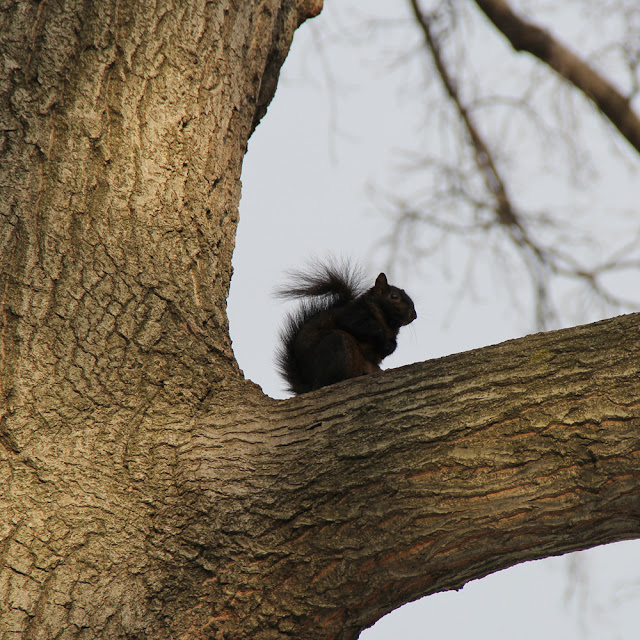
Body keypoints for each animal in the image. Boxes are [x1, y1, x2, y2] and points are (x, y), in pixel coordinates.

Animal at [274, 262, 416, 396]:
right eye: (394, 296)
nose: (414, 315)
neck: (387, 322)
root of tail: (308, 386)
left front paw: (390, 346)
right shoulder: (351, 314)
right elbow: (357, 326)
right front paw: (383, 339)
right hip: (337, 343)